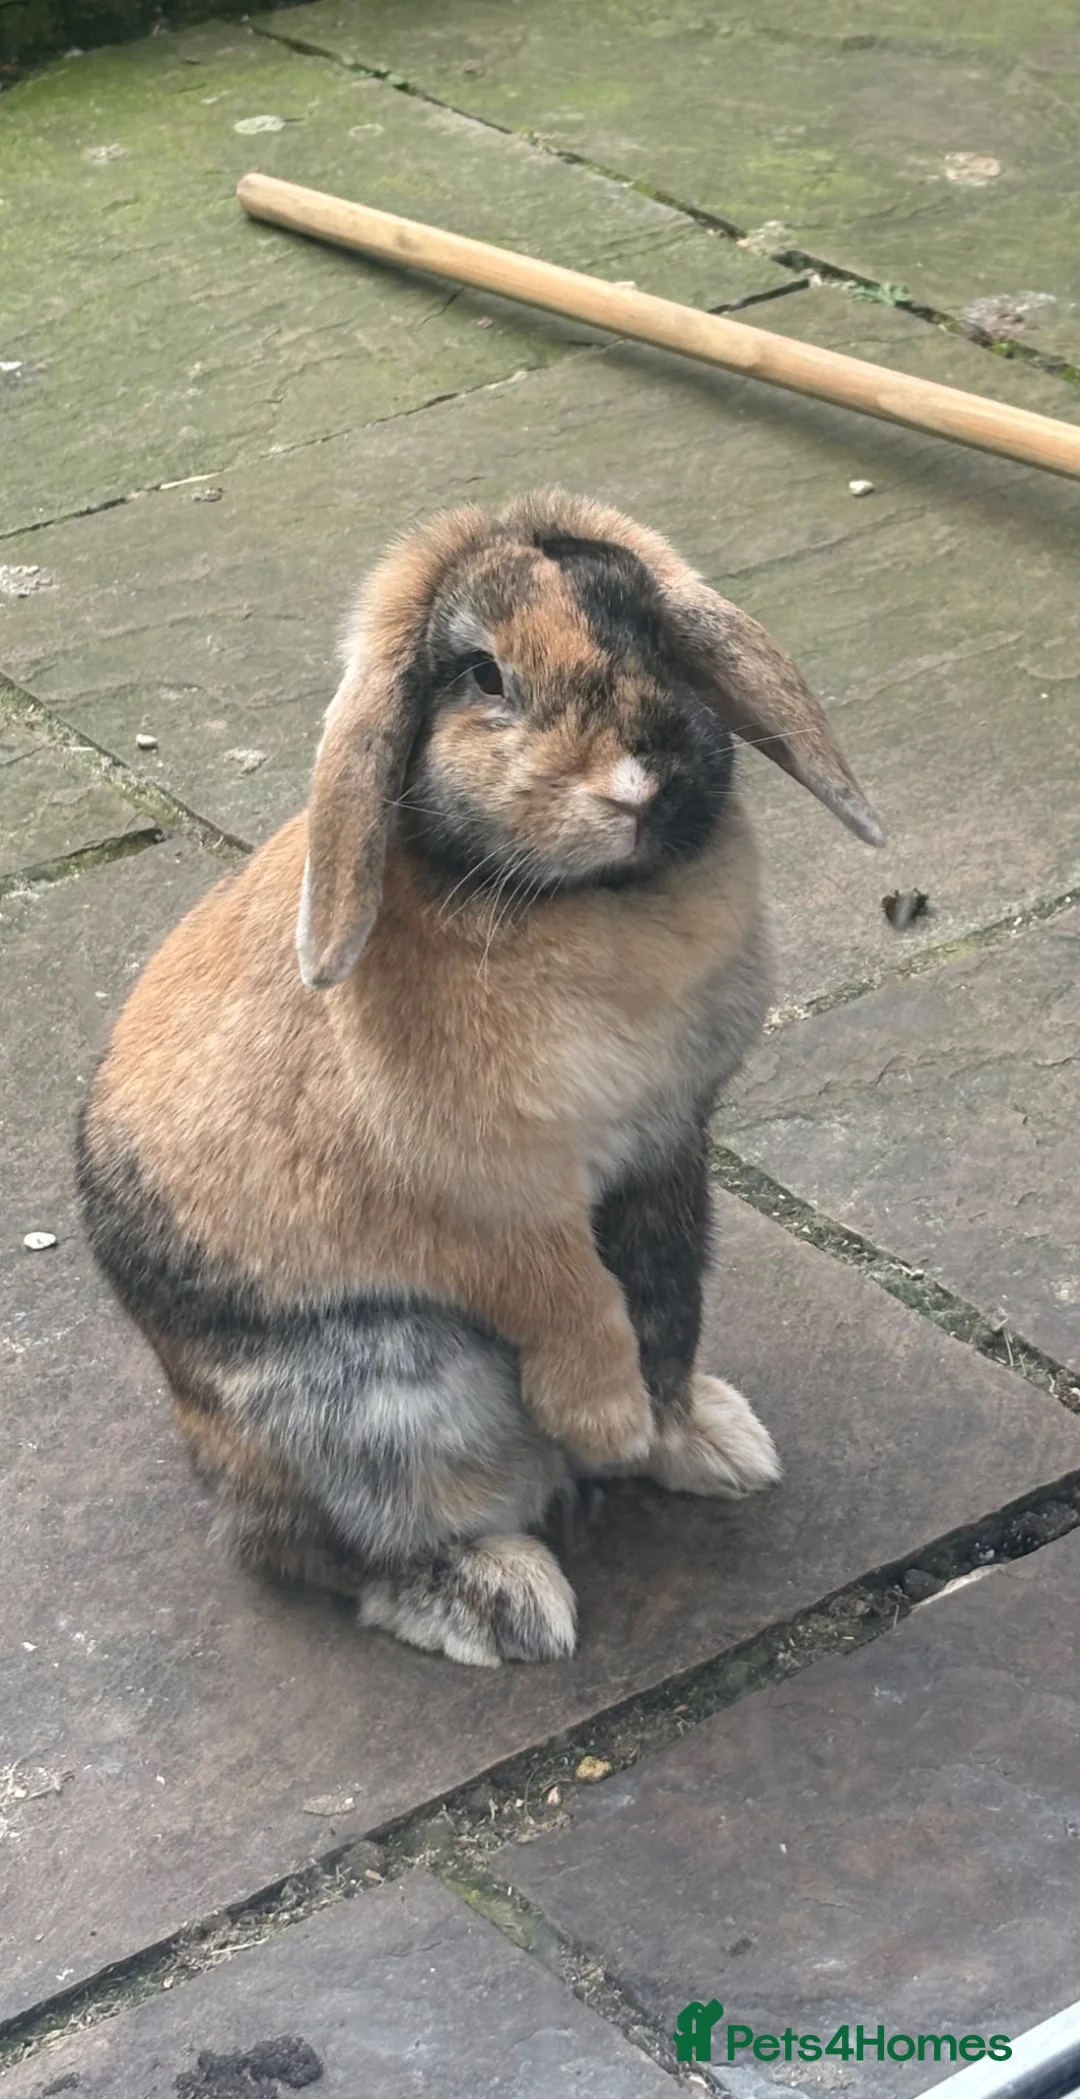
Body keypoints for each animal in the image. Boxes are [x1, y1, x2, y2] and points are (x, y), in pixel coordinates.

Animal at [76, 490, 883, 1668]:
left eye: (658, 638)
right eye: (481, 676)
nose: (641, 781)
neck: (578, 901)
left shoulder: (665, 1156)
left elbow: (663, 1312)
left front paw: (690, 1437)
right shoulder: (497, 1202)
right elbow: (574, 1303)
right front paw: (609, 1422)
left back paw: (712, 1452)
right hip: (389, 1405)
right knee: (331, 1551)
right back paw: (507, 1601)